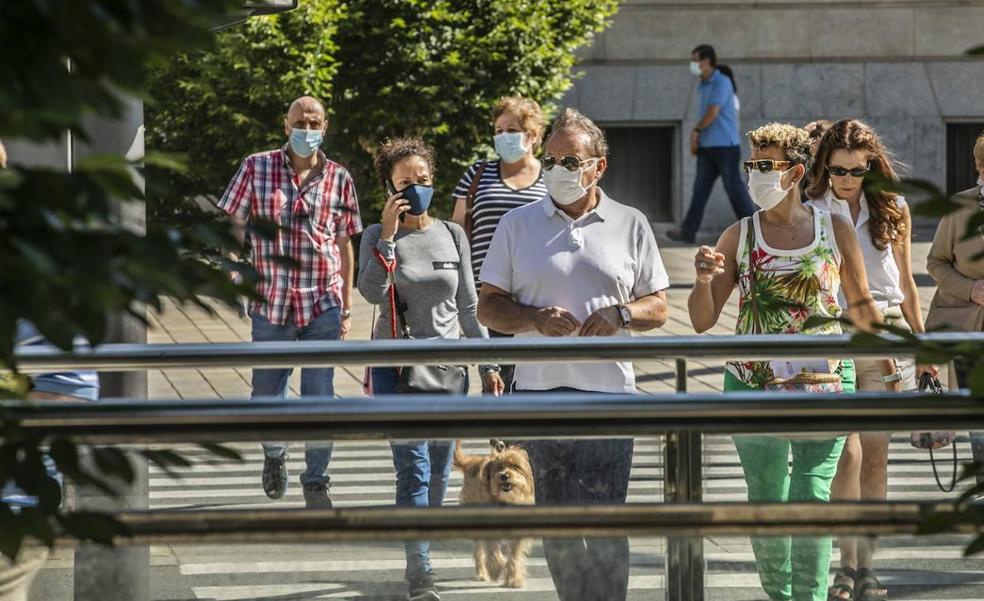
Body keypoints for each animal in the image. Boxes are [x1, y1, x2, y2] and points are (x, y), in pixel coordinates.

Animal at [456, 438, 540, 588]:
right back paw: (481, 573)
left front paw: (513, 579)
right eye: (499, 467)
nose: (504, 476)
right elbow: (492, 551)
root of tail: (471, 462)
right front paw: (496, 569)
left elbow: (514, 556)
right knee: (479, 551)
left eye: (515, 467)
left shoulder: (518, 536)